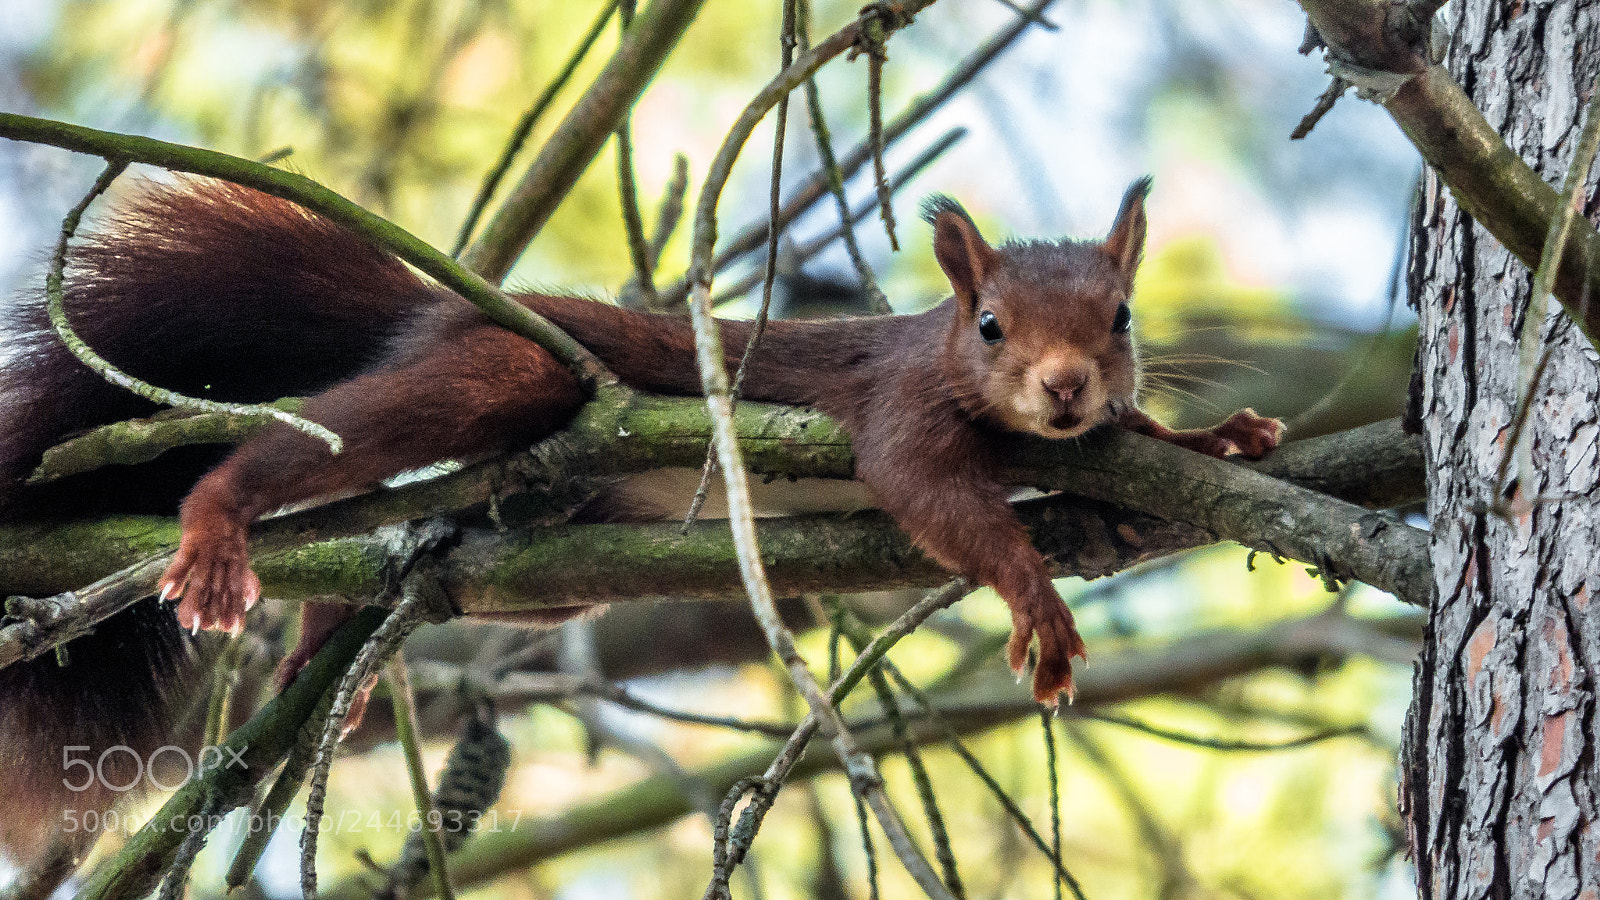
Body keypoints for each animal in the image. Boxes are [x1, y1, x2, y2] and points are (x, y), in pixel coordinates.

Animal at [0, 176, 1282, 857]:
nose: (1066, 389)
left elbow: (1129, 461)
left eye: (1121, 319)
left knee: (453, 566)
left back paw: (336, 656)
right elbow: (924, 489)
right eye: (989, 327)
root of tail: (447, 303)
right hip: (504, 373)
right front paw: (1033, 598)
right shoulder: (896, 401)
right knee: (333, 439)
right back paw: (221, 526)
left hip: (556, 556)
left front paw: (1218, 438)